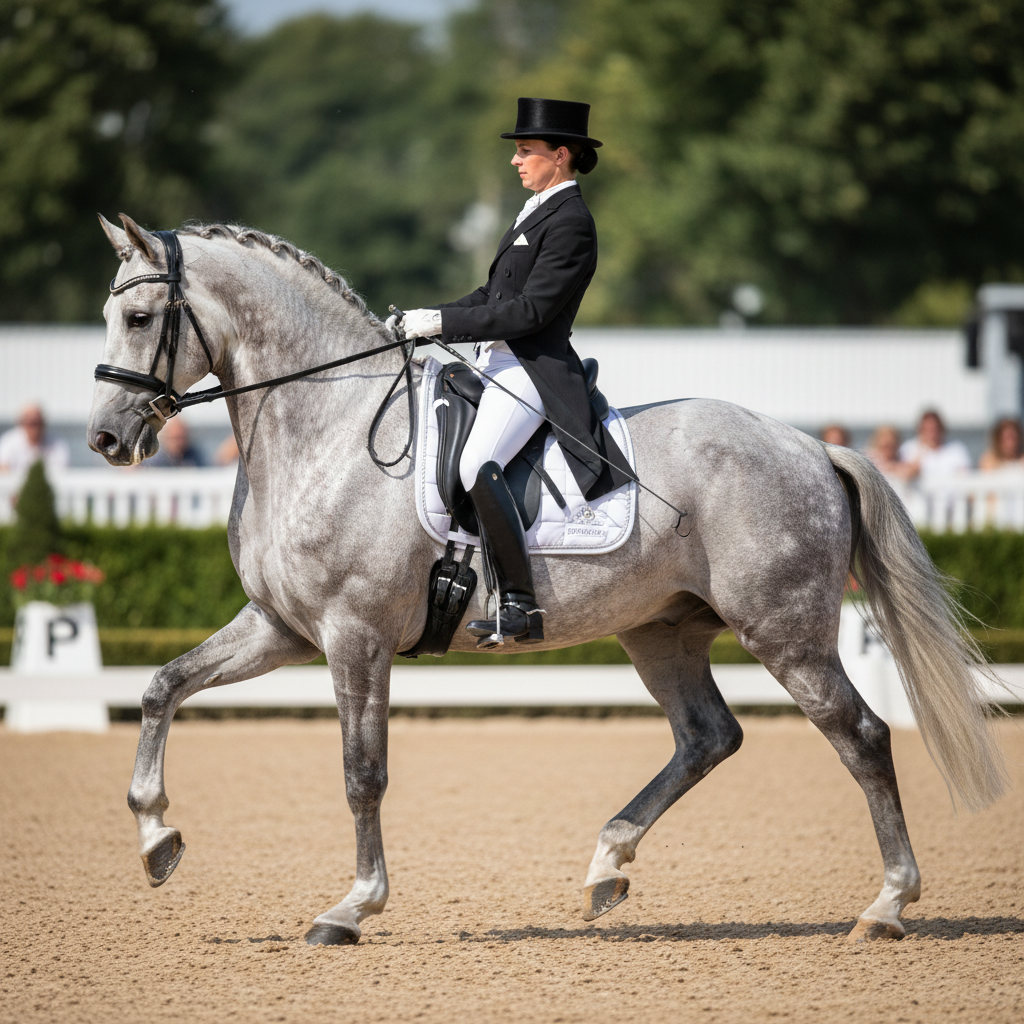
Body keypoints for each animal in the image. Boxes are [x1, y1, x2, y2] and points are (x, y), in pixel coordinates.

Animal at [88, 213, 1007, 947]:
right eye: (107, 315)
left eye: (138, 316)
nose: (105, 440)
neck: (327, 429)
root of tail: (812, 445)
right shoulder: (282, 627)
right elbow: (163, 686)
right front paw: (157, 840)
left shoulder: (355, 634)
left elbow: (362, 771)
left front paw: (352, 907)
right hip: (661, 631)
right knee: (708, 736)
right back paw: (607, 865)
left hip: (785, 630)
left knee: (860, 735)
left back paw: (886, 906)